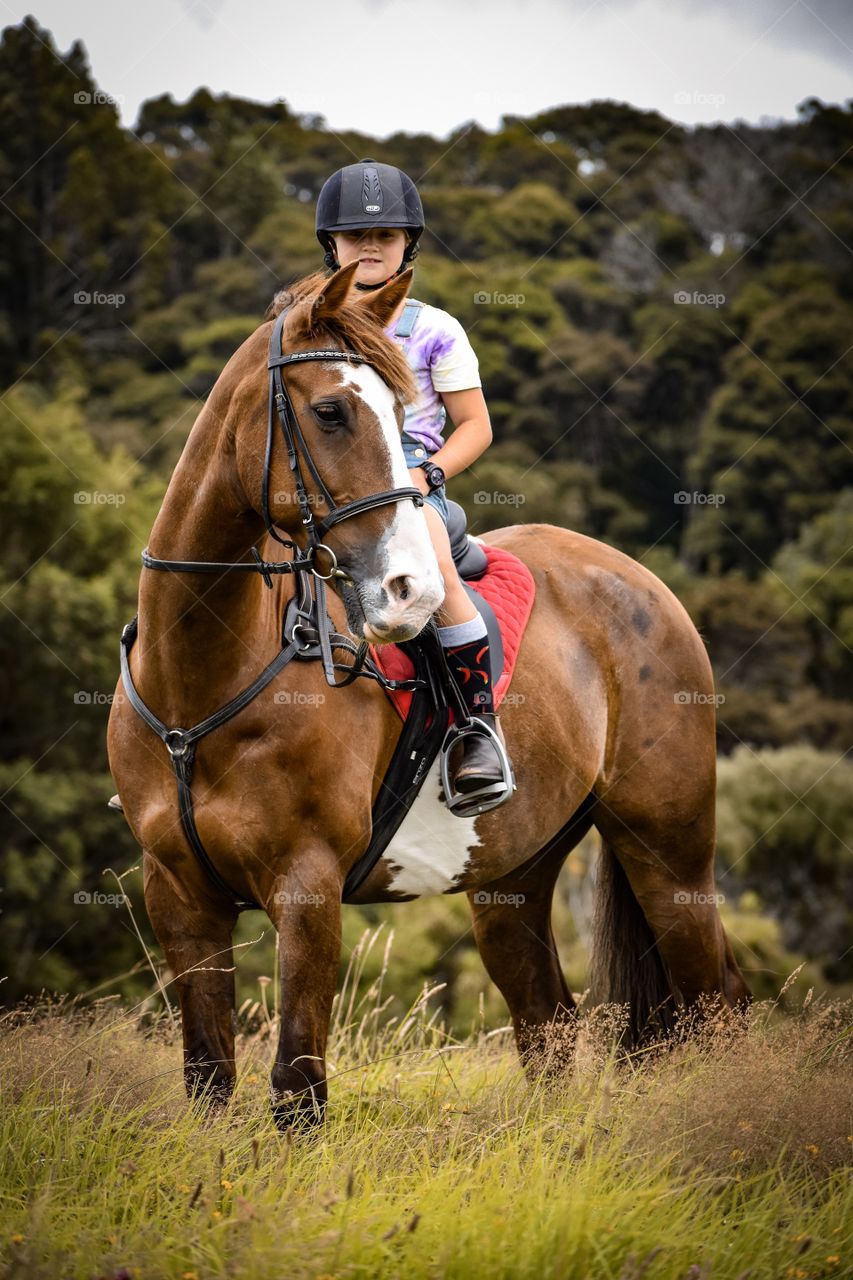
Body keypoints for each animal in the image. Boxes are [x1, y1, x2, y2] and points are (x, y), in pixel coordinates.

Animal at [106, 264, 742, 1126]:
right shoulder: (178, 895)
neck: (197, 685)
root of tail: (639, 580)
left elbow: (296, 1092)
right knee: (547, 1026)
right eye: (330, 410)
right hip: (514, 879)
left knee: (716, 1002)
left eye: (400, 413)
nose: (410, 590)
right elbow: (208, 1078)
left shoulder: (307, 889)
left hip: (669, 857)